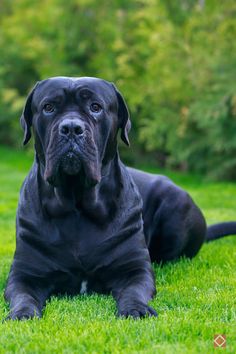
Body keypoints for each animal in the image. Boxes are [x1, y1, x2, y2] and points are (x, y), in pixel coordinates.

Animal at [4, 76, 236, 320]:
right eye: (49, 107)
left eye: (95, 107)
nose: (71, 128)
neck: (77, 205)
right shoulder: (25, 273)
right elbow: (23, 295)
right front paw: (22, 314)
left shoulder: (134, 269)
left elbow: (134, 291)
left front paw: (136, 309)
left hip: (177, 205)